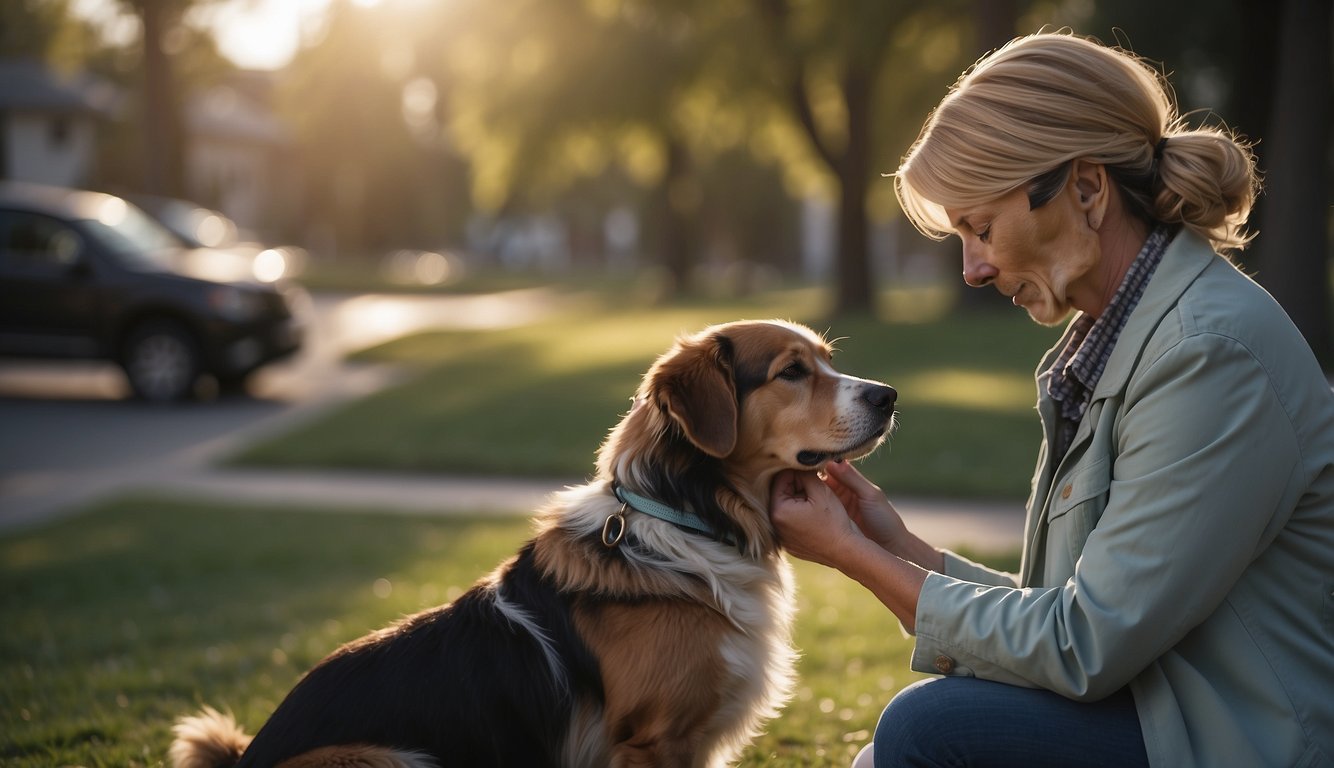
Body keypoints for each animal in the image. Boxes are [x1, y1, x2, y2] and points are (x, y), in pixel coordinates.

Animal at [169, 317, 896, 768]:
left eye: (827, 362)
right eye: (792, 372)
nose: (888, 395)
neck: (693, 520)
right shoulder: (653, 739)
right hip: (384, 756)